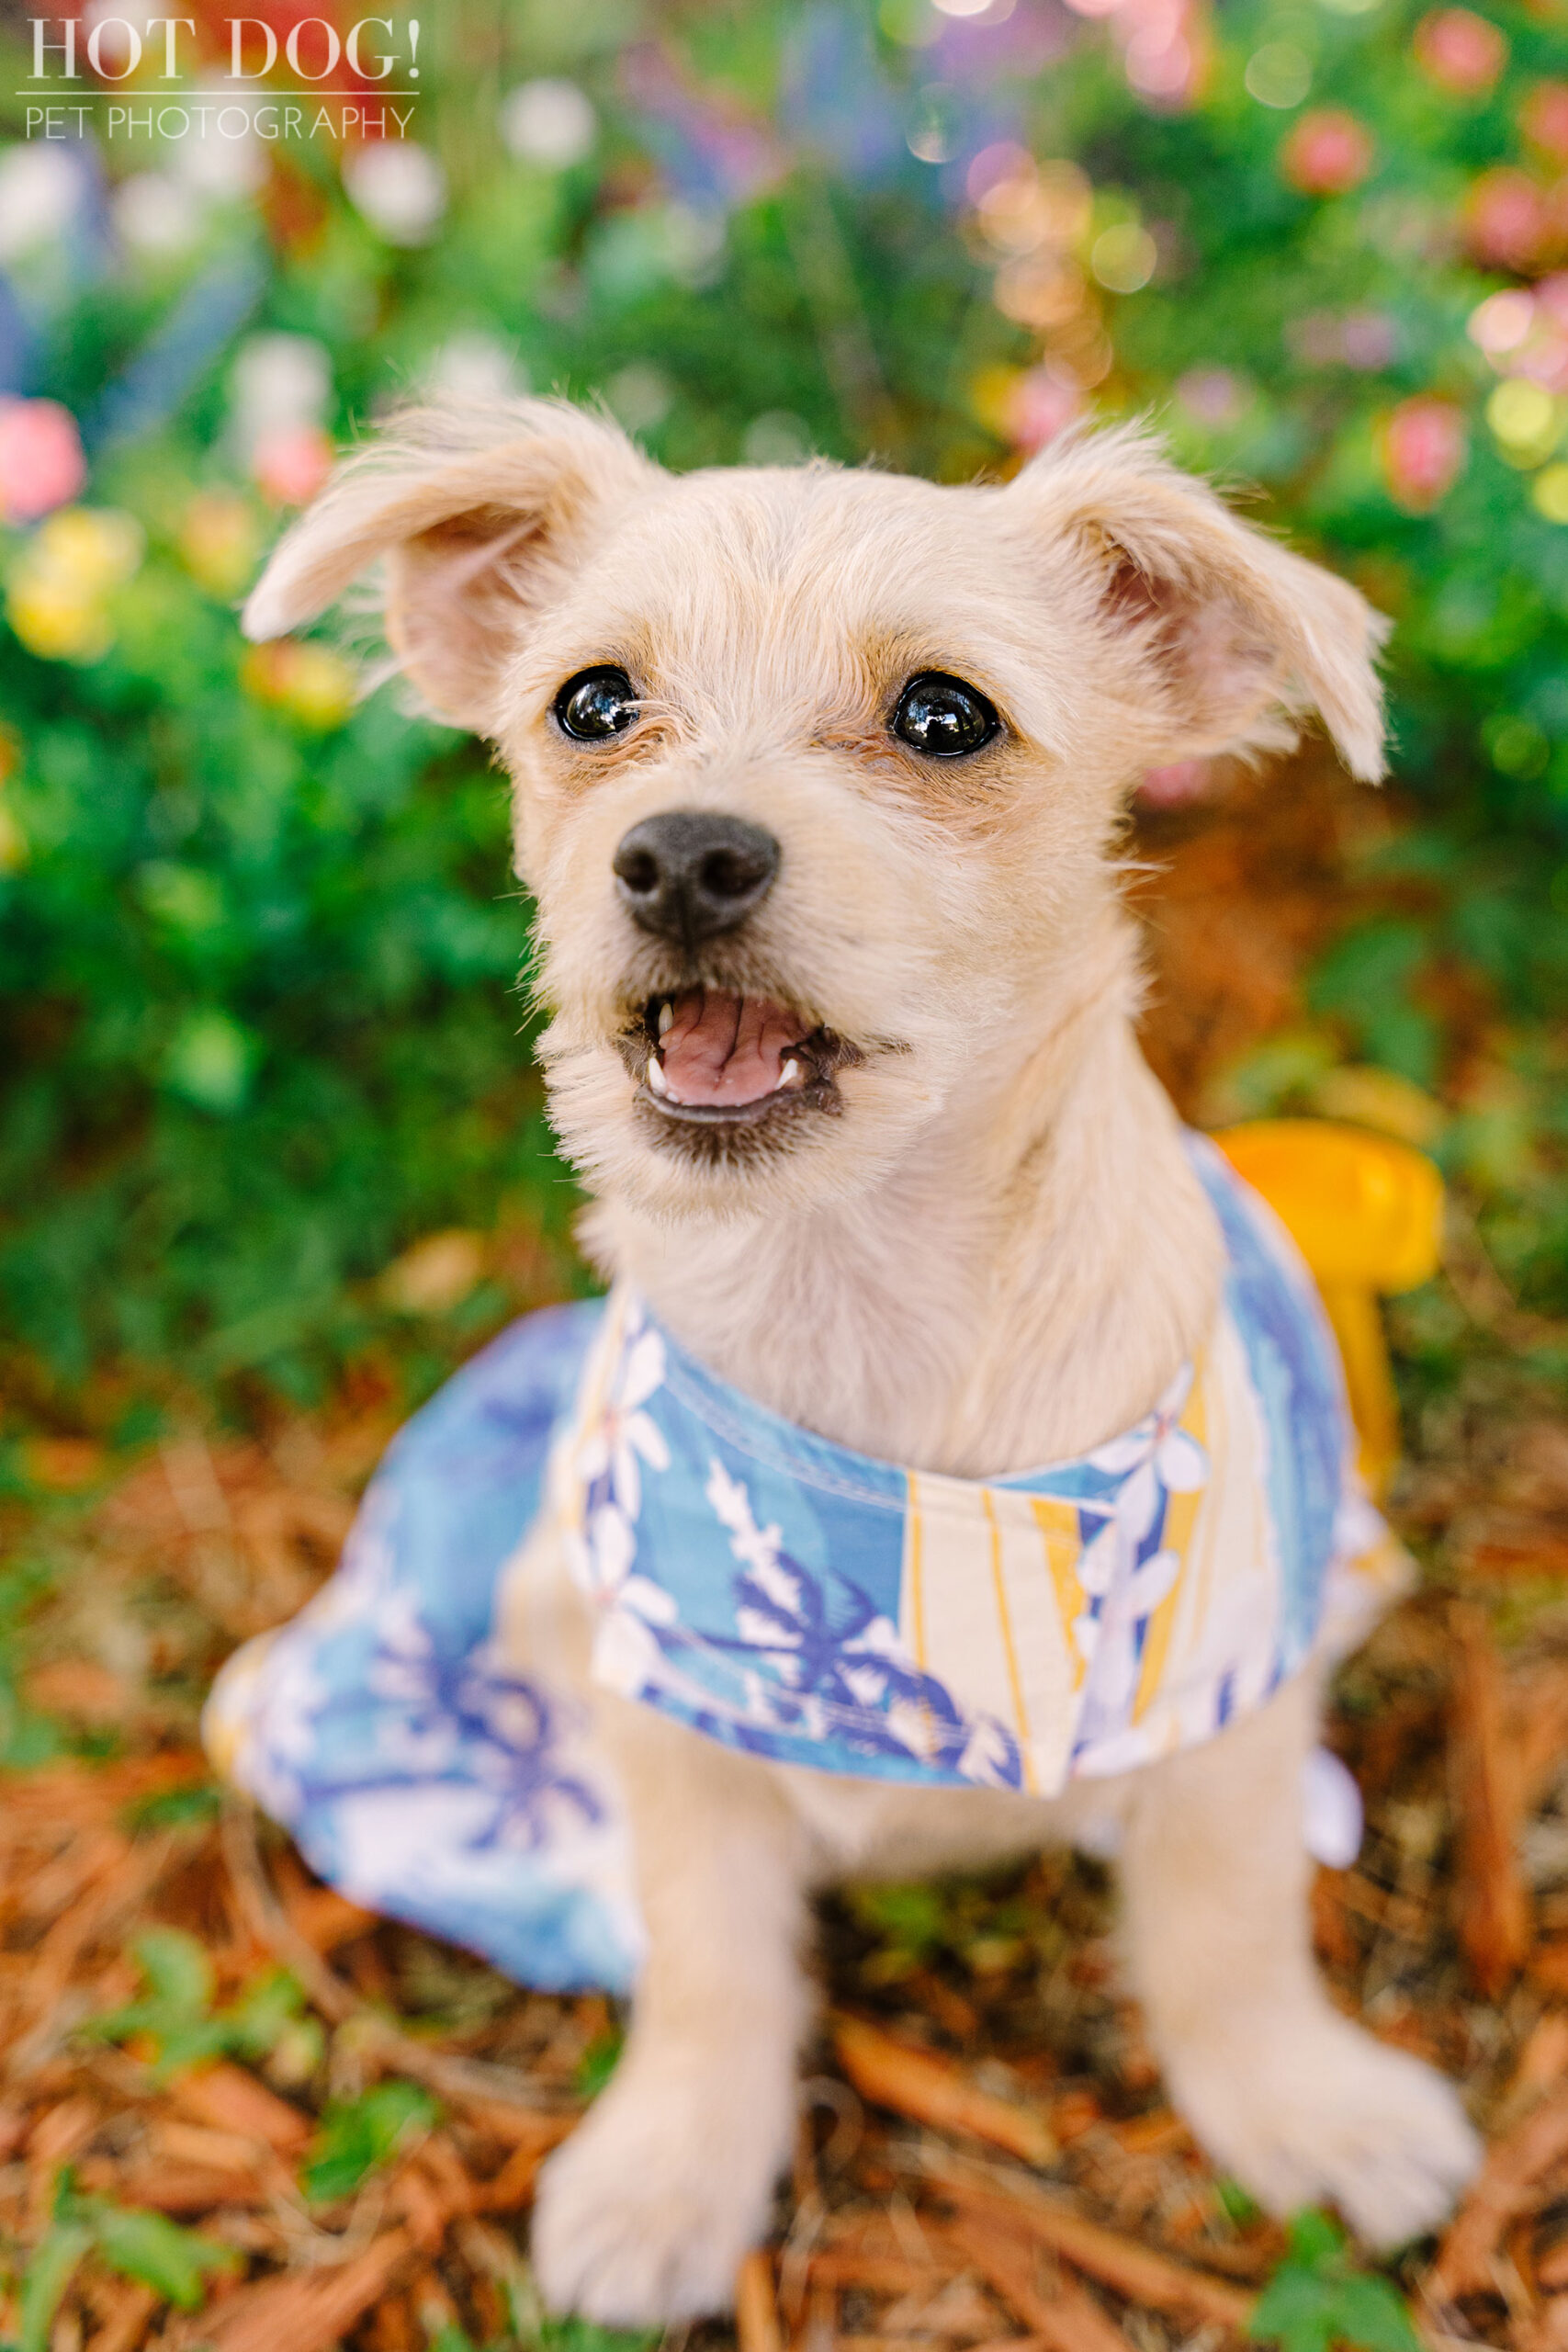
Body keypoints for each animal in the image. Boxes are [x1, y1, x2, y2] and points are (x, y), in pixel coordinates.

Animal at [247, 400, 1485, 2314]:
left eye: (944, 717)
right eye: (592, 702)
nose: (682, 857)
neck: (858, 1287)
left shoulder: (1224, 1697)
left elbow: (1226, 1935)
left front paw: (1303, 2110)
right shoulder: (671, 1715)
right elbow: (707, 1970)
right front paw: (672, 2171)